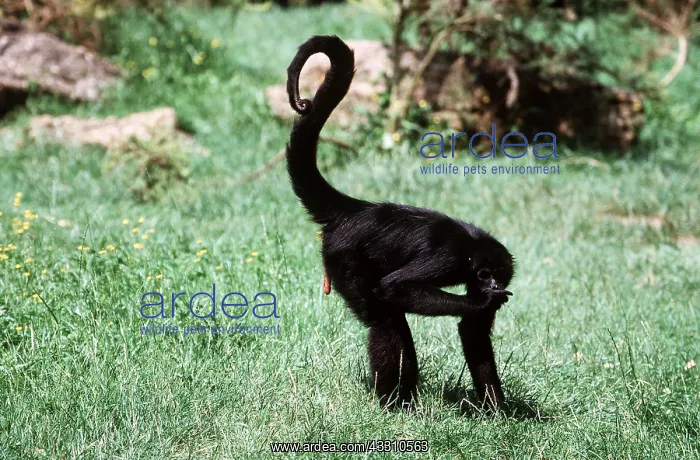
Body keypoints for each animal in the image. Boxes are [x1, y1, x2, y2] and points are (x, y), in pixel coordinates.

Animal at [285, 35, 515, 409]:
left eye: (497, 274)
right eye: (484, 274)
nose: (492, 285)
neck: (472, 247)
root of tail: (356, 209)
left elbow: (473, 331)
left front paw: (498, 412)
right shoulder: (450, 256)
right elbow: (396, 288)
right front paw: (483, 302)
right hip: (344, 256)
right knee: (385, 316)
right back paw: (392, 403)